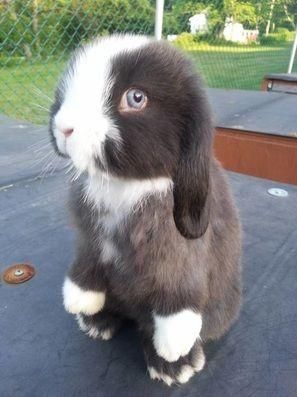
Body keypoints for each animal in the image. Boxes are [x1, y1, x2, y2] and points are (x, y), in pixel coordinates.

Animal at [49, 34, 242, 384]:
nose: (63, 127)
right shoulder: (89, 241)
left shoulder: (179, 256)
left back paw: (174, 366)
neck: (125, 184)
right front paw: (78, 299)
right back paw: (96, 322)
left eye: (136, 98)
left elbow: (178, 292)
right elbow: (87, 263)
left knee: (150, 327)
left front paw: (174, 348)